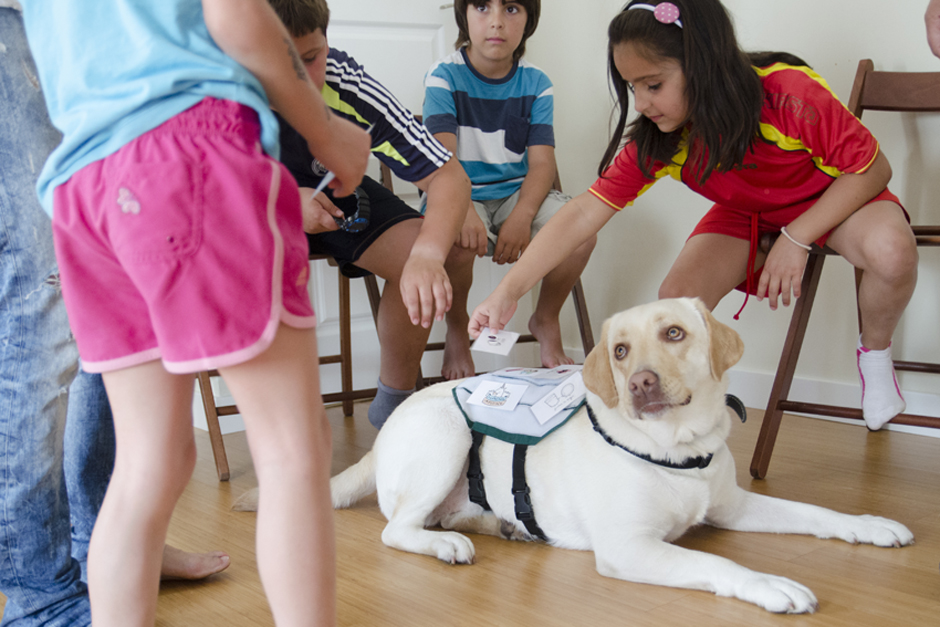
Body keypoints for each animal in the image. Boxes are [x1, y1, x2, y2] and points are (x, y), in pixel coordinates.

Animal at [330, 300, 912, 612]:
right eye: (620, 351)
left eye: (674, 333)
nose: (640, 383)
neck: (680, 449)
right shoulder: (628, 546)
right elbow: (716, 561)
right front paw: (769, 584)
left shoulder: (736, 506)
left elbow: (816, 513)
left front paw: (869, 524)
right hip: (446, 435)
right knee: (399, 529)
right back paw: (446, 543)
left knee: (452, 515)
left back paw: (504, 526)